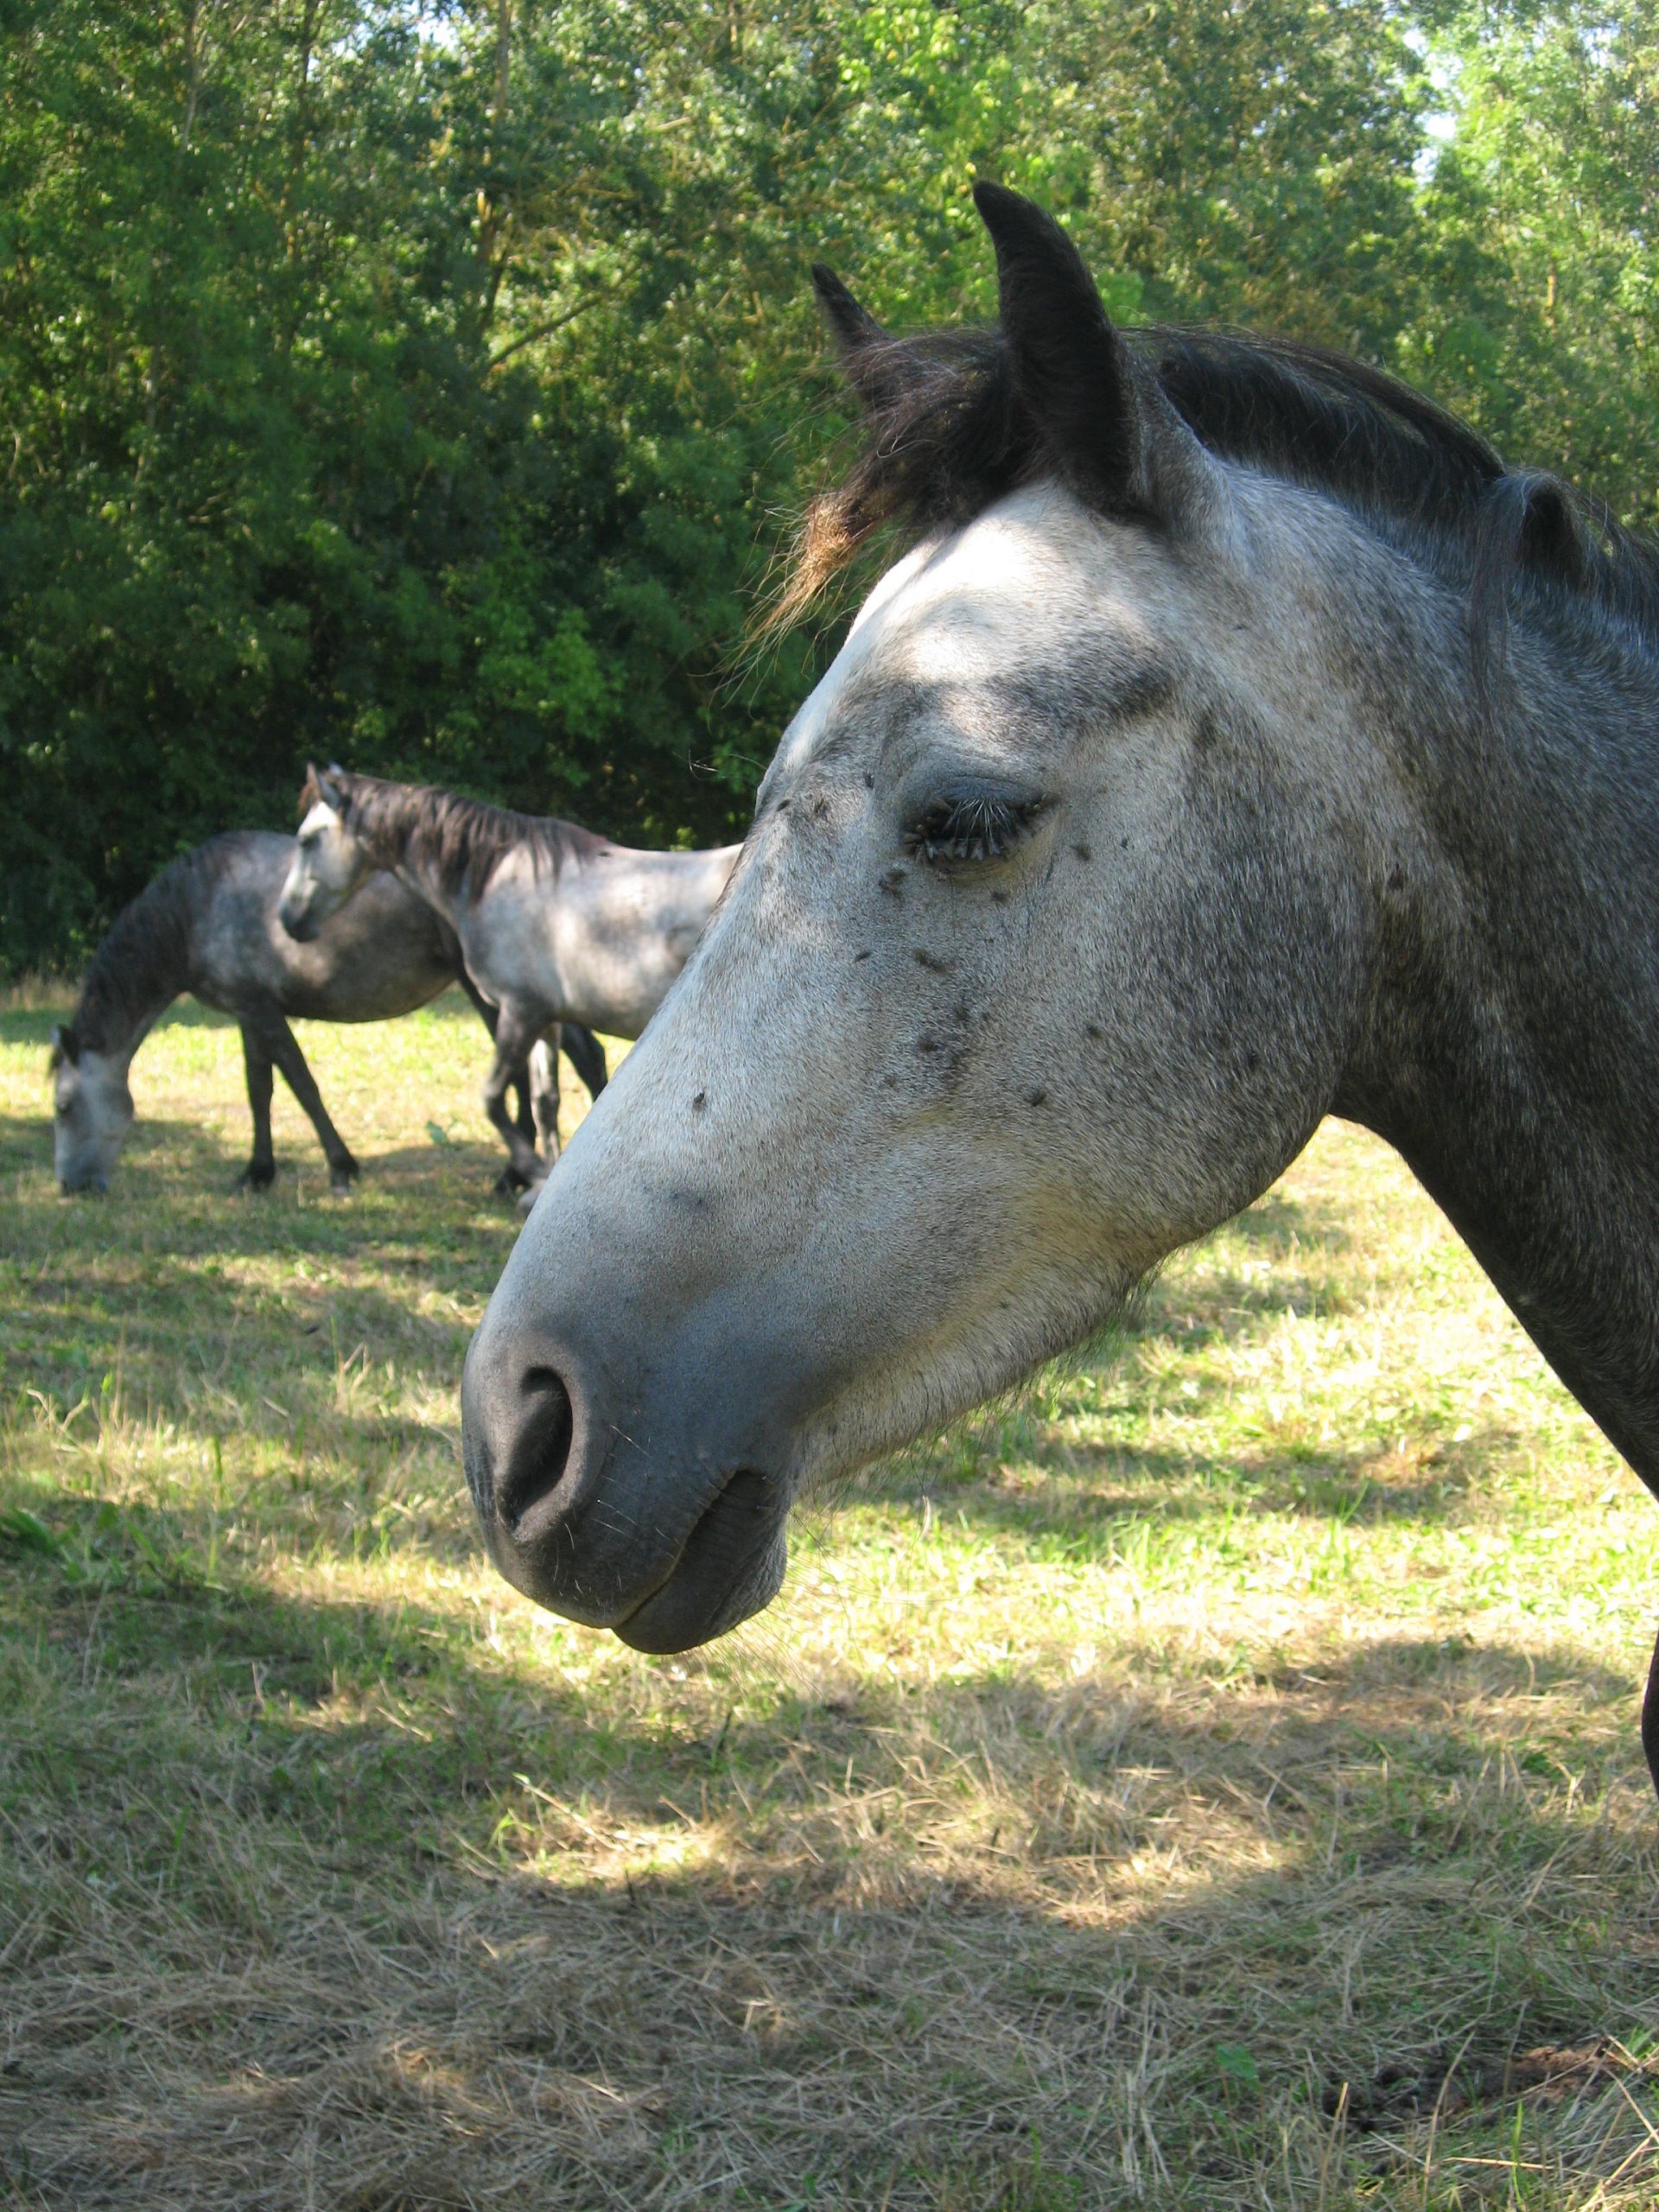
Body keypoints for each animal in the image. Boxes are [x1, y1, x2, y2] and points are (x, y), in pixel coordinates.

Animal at [50, 831, 610, 1194]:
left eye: (63, 1106)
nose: (70, 1186)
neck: (197, 907)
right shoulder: (248, 1012)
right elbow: (259, 1090)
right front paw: (258, 1171)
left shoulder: (262, 1012)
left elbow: (301, 1084)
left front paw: (341, 1167)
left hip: (491, 994)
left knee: (533, 1069)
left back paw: (516, 1173)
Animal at [281, 774, 739, 1194]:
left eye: (308, 840)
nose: (288, 918)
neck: (502, 884)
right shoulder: (547, 1023)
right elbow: (545, 1103)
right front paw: (545, 1176)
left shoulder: (520, 1013)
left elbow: (492, 1098)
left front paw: (531, 1170)